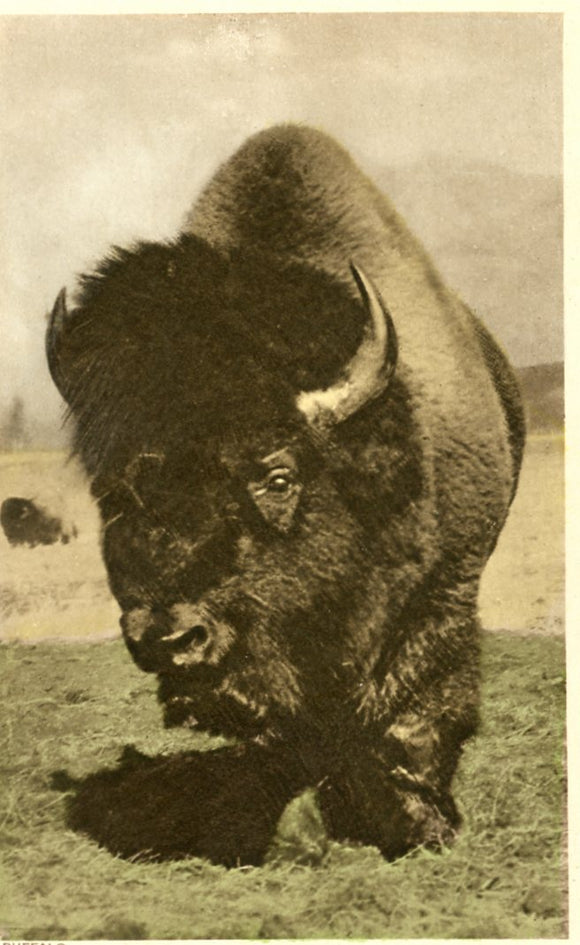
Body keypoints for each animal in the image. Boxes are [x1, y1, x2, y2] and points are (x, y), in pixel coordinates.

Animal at [46, 125, 525, 863]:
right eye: (114, 492)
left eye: (277, 476)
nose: (171, 637)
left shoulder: (446, 585)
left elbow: (416, 711)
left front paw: (424, 826)